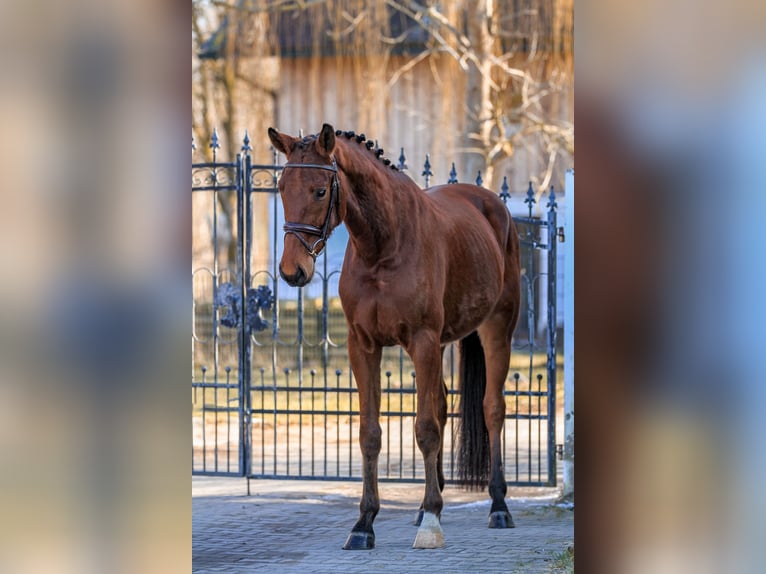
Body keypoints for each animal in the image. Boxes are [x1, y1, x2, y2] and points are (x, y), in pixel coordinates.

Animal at [268, 124, 520, 552]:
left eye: (319, 191)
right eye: (283, 187)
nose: (292, 271)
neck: (382, 247)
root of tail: (493, 206)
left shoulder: (422, 341)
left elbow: (425, 429)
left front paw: (431, 524)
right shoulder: (363, 346)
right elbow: (370, 433)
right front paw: (364, 524)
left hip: (496, 330)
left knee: (492, 409)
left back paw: (497, 505)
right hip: (441, 345)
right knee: (442, 404)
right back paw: (423, 505)